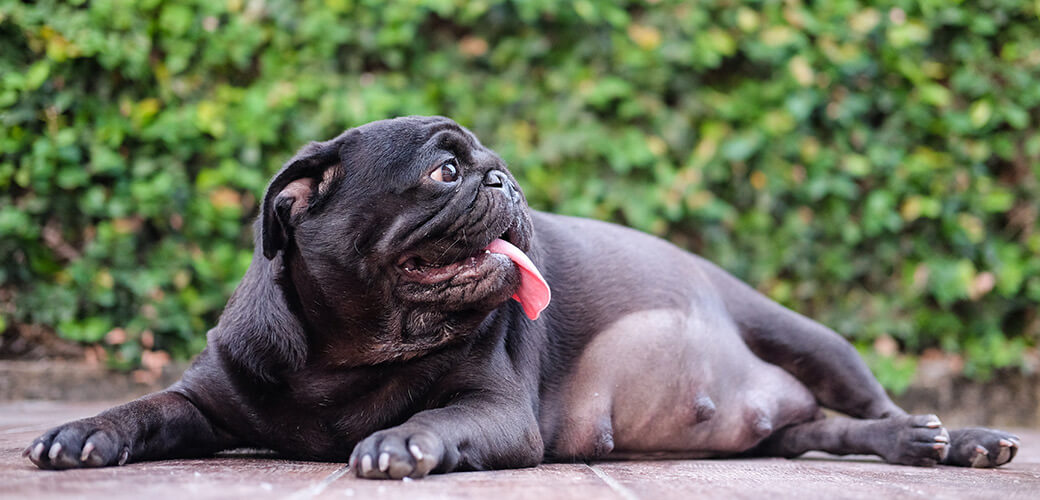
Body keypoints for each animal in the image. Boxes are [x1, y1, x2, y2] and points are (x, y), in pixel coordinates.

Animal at [24, 115, 1015, 476]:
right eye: (445, 171)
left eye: (487, 165)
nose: (503, 178)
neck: (348, 352)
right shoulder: (207, 399)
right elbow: (149, 409)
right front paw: (84, 432)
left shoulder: (497, 413)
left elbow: (437, 418)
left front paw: (402, 444)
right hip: (787, 423)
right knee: (821, 434)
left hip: (810, 339)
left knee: (871, 410)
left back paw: (952, 441)